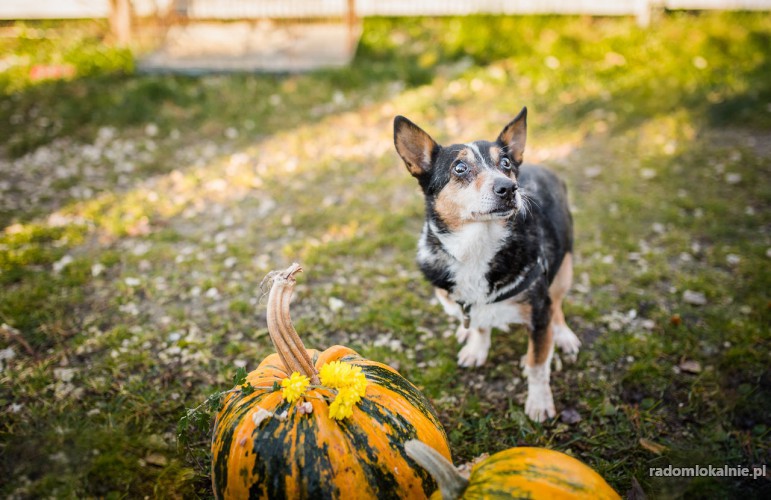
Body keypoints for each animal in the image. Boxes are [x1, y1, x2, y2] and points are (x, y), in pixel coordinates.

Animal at [396, 109, 584, 422]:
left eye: (505, 163)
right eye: (460, 168)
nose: (509, 188)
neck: (477, 247)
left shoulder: (539, 311)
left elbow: (537, 364)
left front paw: (539, 401)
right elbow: (479, 325)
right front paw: (476, 346)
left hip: (564, 267)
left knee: (557, 305)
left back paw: (563, 336)